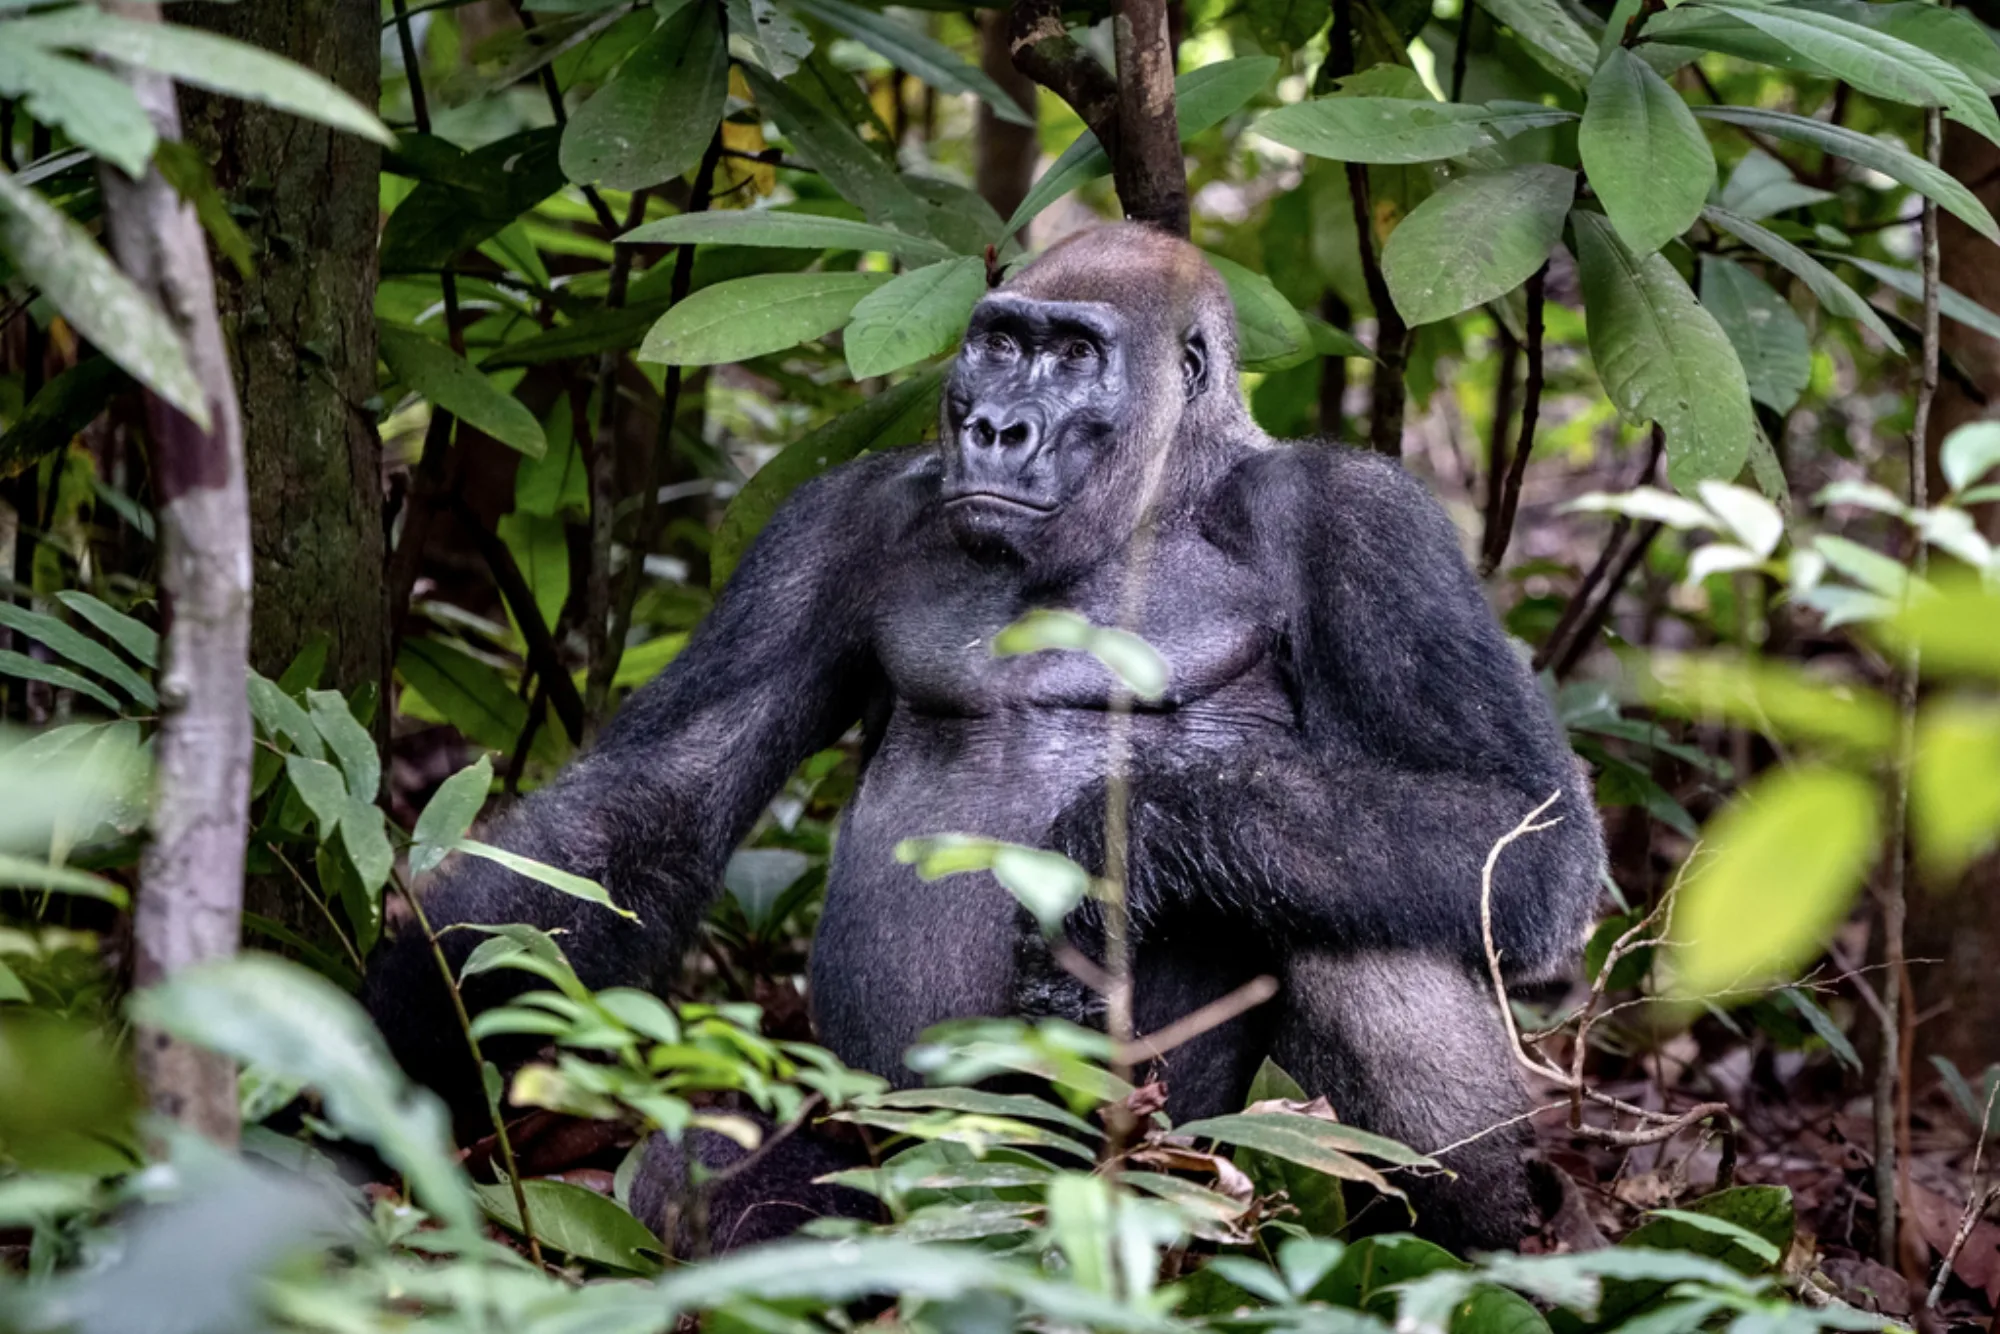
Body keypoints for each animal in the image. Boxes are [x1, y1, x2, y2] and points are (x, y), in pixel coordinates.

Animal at [363, 223, 1605, 1254]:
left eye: (1072, 356)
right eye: (1000, 343)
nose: (993, 428)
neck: (1159, 494)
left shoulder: (1365, 517)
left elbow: (1525, 830)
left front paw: (1122, 849)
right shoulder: (838, 516)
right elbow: (657, 795)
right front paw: (397, 1036)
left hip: (1175, 1174)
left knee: (1358, 910)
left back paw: (1470, 1253)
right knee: (700, 1185)